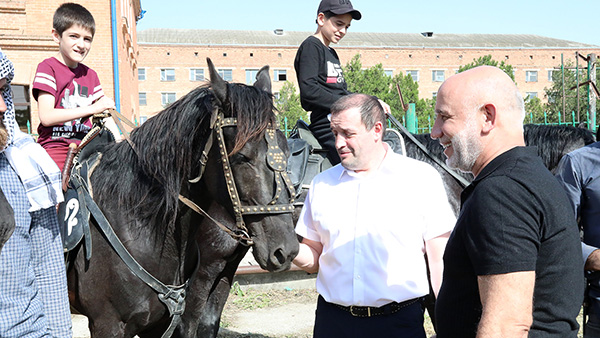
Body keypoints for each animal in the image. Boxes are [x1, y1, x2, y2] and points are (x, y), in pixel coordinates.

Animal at [67, 59, 298, 336]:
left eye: (286, 152)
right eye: (243, 156)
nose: (285, 250)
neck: (135, 223)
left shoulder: (162, 319)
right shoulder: (108, 323)